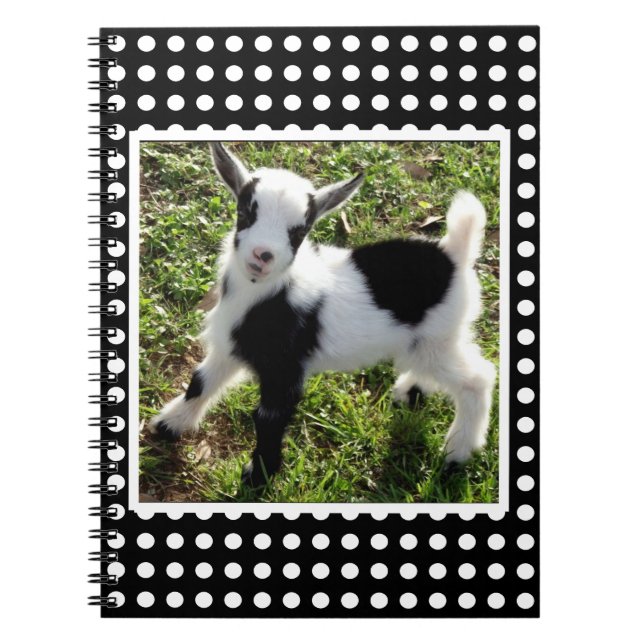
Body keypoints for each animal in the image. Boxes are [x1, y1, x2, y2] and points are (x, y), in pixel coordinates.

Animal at [150, 143, 496, 488]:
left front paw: (258, 477)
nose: (262, 255)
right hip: (432, 339)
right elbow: (200, 382)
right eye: (245, 213)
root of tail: (452, 256)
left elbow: (268, 419)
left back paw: (457, 452)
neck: (267, 294)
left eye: (300, 231)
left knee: (478, 378)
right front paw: (168, 425)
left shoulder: (284, 370)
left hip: (437, 339)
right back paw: (410, 392)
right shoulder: (230, 346)